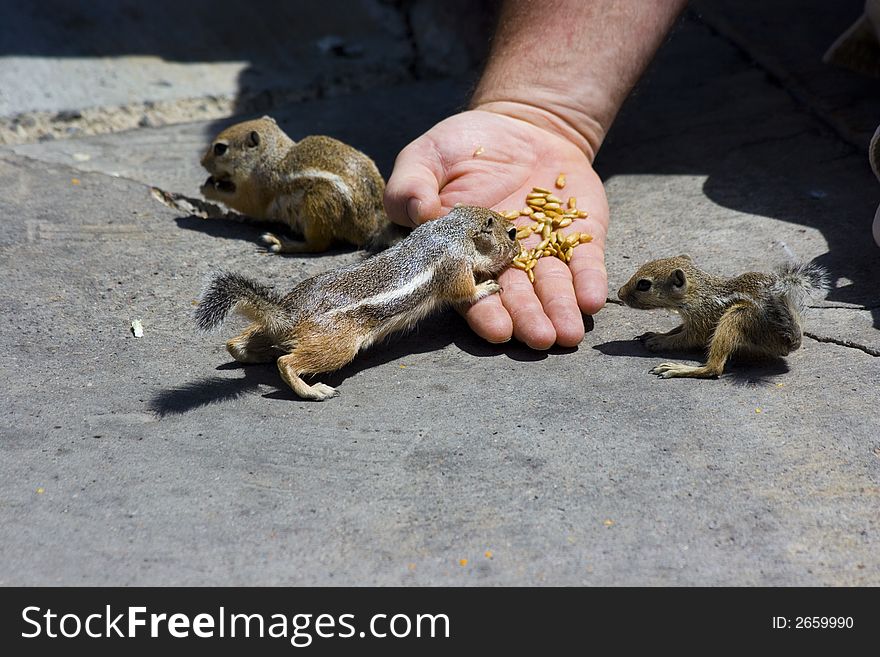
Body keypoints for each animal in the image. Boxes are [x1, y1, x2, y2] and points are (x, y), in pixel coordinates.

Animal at [196, 205, 520, 400]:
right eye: (511, 232)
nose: (519, 248)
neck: (451, 231)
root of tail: (287, 314)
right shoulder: (455, 267)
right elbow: (464, 292)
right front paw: (487, 286)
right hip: (337, 345)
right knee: (286, 362)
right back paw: (313, 391)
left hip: (271, 330)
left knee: (237, 343)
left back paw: (252, 354)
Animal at [199, 115, 402, 251]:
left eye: (220, 149)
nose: (201, 162)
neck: (271, 157)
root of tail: (373, 225)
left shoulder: (257, 189)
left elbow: (246, 203)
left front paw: (208, 190)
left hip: (317, 205)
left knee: (318, 245)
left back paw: (283, 244)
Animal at [616, 256, 828, 380]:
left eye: (644, 284)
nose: (619, 293)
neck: (698, 294)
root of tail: (790, 340)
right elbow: (676, 330)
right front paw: (655, 334)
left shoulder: (702, 322)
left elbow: (686, 339)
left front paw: (659, 341)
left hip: (736, 317)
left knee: (714, 369)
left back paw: (676, 368)